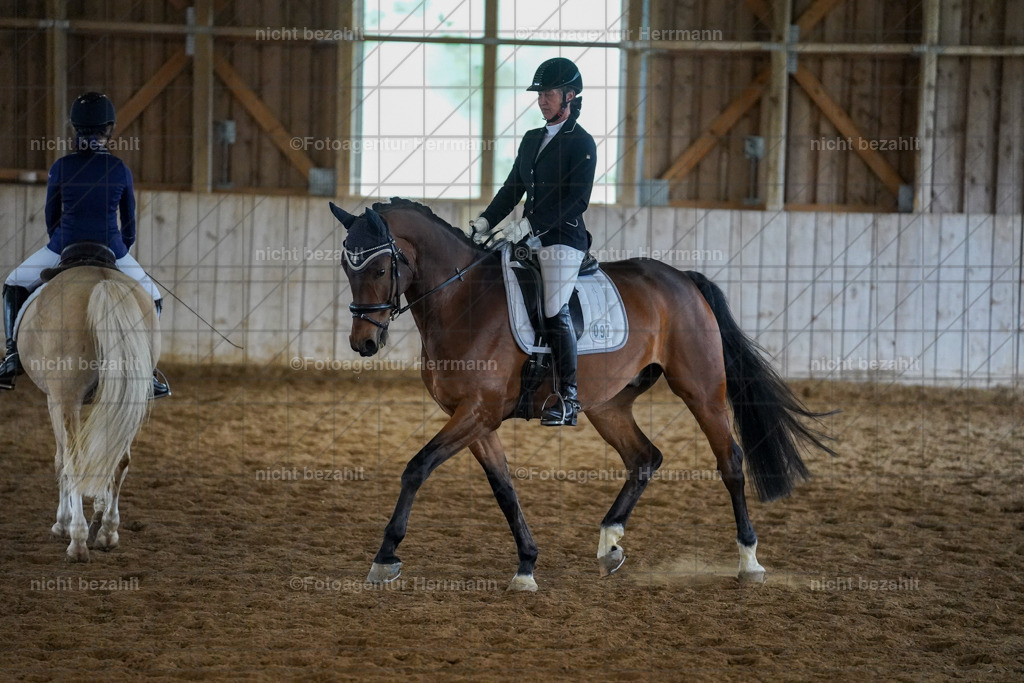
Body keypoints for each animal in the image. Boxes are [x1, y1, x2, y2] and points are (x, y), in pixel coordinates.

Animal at [17, 266, 160, 562]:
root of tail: (103, 280)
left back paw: (78, 541)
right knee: (120, 460)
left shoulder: (54, 400)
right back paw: (107, 533)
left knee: (75, 461)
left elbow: (61, 461)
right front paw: (98, 514)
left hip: (66, 398)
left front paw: (62, 523)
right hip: (130, 397)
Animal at [330, 198, 834, 591]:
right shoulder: (473, 418)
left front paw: (385, 558)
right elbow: (504, 487)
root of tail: (684, 280)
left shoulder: (477, 411)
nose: (363, 343)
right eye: (345, 266)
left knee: (729, 460)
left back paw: (749, 561)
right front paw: (527, 565)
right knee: (644, 458)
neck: (462, 301)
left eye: (380, 267)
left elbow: (417, 468)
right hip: (609, 405)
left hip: (702, 390)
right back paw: (610, 543)